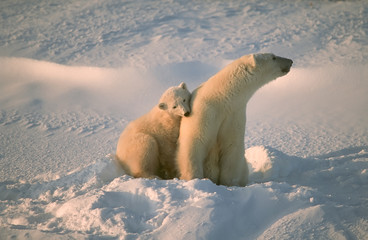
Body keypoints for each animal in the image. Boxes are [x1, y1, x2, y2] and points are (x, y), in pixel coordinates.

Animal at [175, 53, 294, 187]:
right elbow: (194, 143)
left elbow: (232, 147)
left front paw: (230, 184)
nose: (290, 61)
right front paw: (195, 179)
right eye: (273, 57)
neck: (221, 97)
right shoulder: (204, 112)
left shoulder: (234, 114)